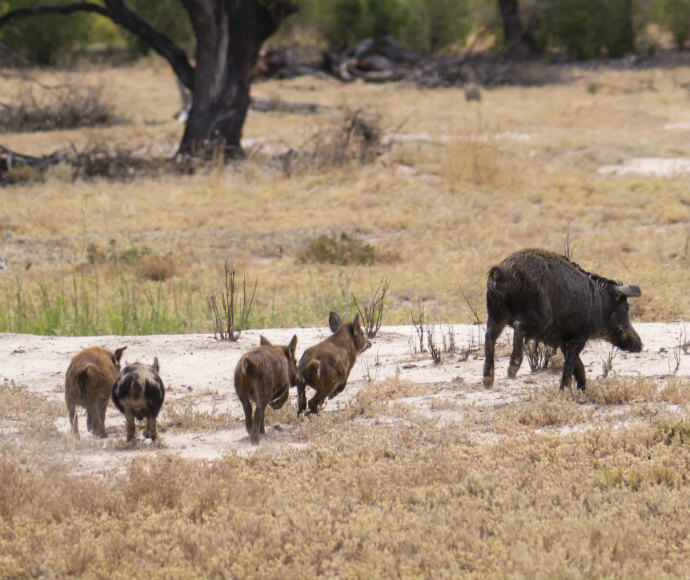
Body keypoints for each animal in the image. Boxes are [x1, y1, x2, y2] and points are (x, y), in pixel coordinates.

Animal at [482, 249, 644, 390]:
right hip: (540, 317)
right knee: (518, 327)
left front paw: (583, 390)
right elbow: (571, 364)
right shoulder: (579, 337)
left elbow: (578, 366)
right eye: (626, 307)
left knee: (490, 337)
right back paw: (511, 372)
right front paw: (565, 392)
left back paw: (488, 382)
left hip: (495, 313)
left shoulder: (564, 340)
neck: (600, 304)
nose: (640, 345)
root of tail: (503, 272)